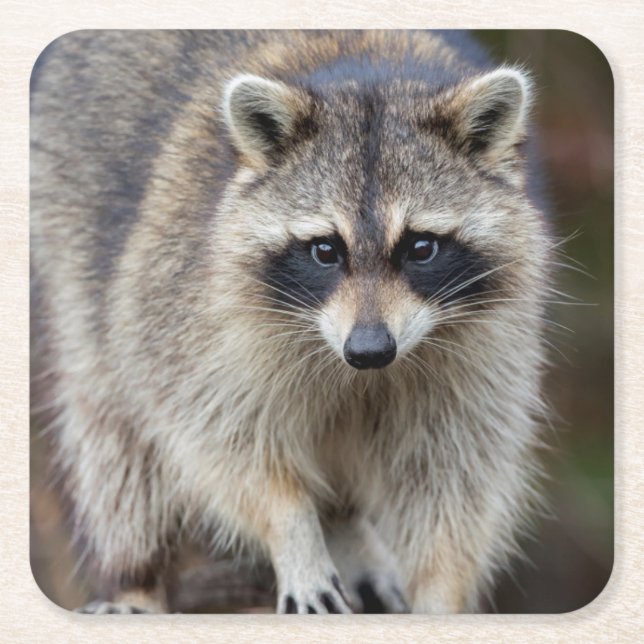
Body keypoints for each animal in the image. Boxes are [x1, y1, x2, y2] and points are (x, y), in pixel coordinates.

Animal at [31, 30, 552, 614]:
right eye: (325, 250)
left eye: (421, 247)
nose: (369, 350)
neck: (367, 77)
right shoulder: (188, 312)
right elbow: (224, 443)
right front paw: (293, 531)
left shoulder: (485, 346)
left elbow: (455, 476)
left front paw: (441, 589)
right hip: (74, 252)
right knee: (114, 441)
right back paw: (135, 577)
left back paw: (345, 526)